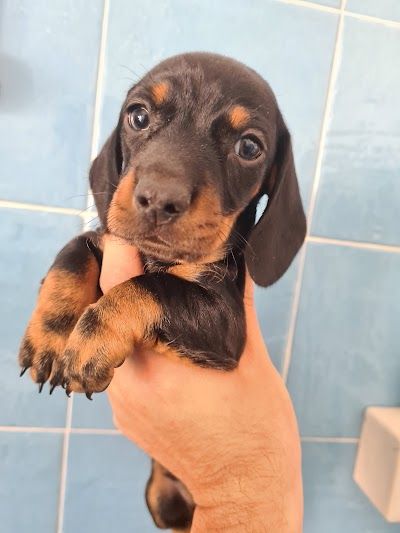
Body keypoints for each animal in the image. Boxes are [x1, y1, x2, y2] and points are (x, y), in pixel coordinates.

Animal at [18, 52, 306, 530]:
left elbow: (152, 286)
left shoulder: (225, 326)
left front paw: (93, 338)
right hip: (158, 498)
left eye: (249, 147)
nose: (158, 199)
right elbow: (74, 252)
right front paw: (51, 334)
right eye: (138, 116)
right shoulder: (107, 239)